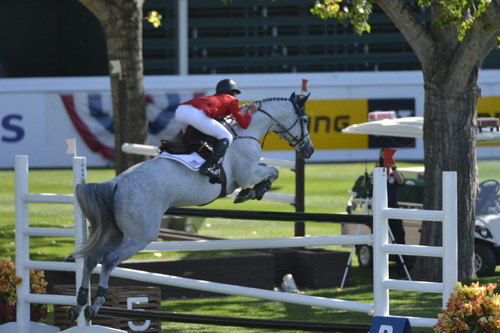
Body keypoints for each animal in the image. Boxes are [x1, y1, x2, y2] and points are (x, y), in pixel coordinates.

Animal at [68, 92, 314, 320]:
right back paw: (96, 303)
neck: (247, 131)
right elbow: (273, 171)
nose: (309, 150)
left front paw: (252, 192)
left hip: (116, 232)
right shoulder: (247, 173)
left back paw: (80, 303)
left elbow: (272, 171)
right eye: (305, 119)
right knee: (109, 260)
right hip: (139, 235)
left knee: (91, 259)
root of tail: (115, 183)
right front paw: (254, 192)